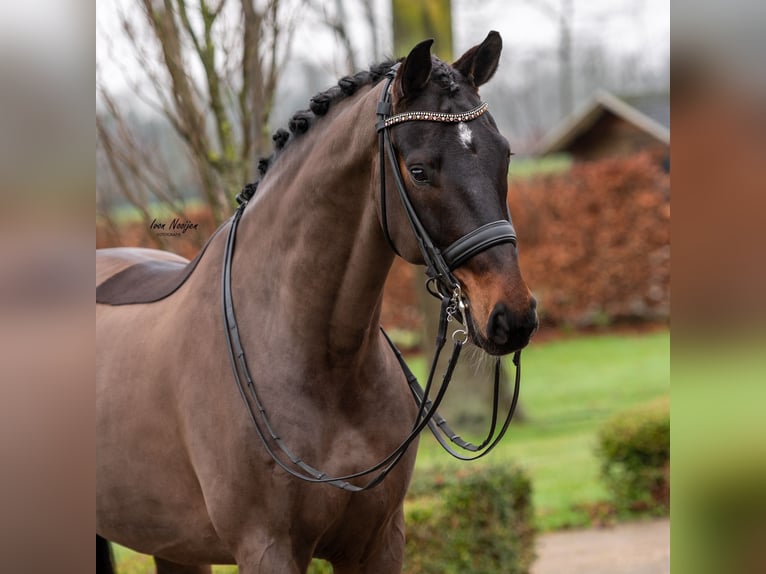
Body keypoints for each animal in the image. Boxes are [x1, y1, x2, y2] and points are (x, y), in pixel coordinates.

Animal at [97, 32, 540, 574]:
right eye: (419, 171)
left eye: (505, 156)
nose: (512, 316)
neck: (321, 357)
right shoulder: (267, 547)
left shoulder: (378, 542)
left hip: (174, 546)